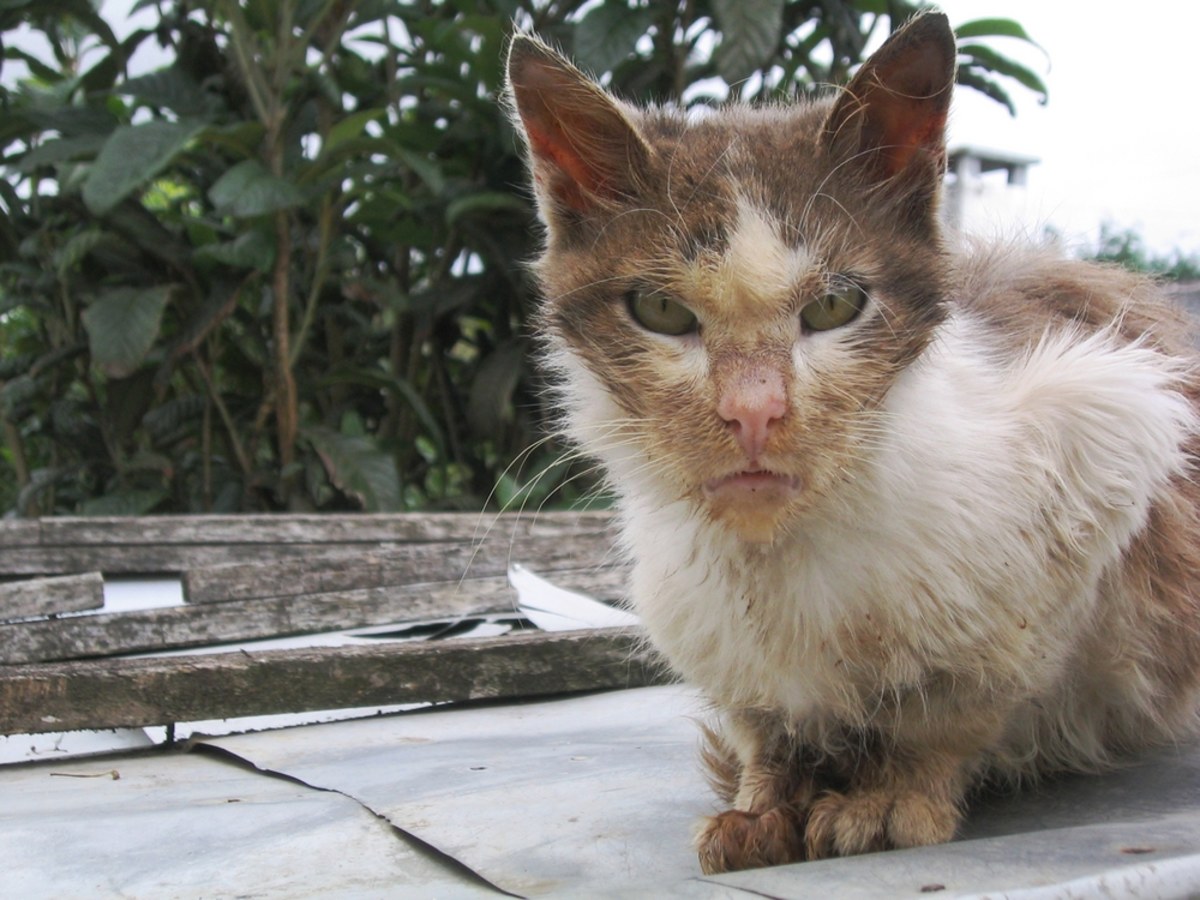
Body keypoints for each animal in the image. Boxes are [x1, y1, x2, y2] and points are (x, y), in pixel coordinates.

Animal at [501, 10, 1200, 878]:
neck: (781, 556)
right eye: (660, 311)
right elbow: (758, 719)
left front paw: (894, 793)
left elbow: (964, 699)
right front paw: (762, 801)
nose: (754, 411)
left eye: (834, 307)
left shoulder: (1116, 423)